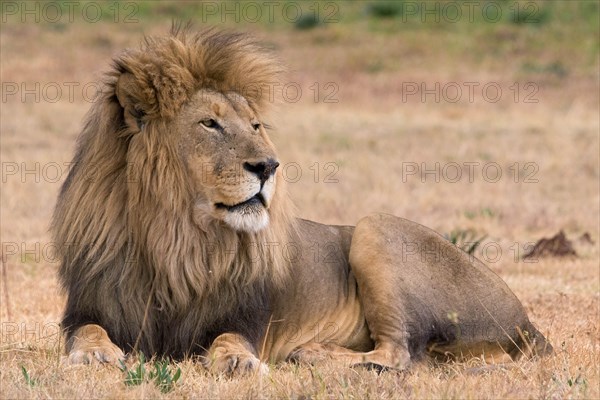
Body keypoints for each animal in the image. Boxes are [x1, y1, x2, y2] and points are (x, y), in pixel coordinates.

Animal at [54, 28, 552, 376]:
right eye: (210, 124)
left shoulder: (244, 318)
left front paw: (238, 363)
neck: (177, 239)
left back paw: (313, 352)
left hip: (375, 227)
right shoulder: (88, 307)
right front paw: (96, 355)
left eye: (255, 125)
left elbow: (230, 341)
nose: (269, 166)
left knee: (400, 354)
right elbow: (87, 332)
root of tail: (527, 322)